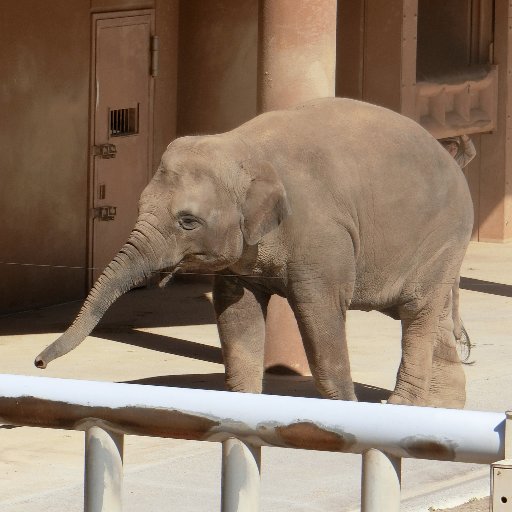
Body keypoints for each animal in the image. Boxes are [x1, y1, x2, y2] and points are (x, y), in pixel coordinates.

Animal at [37, 96, 476, 408]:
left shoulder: (322, 236)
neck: (241, 146)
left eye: (187, 221)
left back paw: (401, 406)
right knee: (432, 314)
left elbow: (320, 314)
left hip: (442, 236)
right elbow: (237, 313)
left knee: (417, 311)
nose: (38, 363)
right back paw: (442, 408)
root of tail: (453, 161)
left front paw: (346, 411)